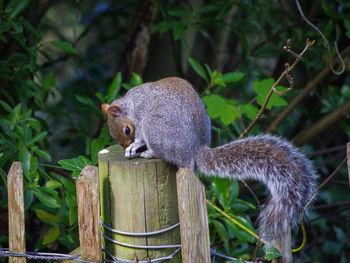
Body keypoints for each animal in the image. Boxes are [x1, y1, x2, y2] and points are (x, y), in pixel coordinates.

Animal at [101, 77, 318, 245]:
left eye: (127, 130)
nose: (125, 143)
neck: (132, 102)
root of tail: (193, 152)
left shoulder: (140, 118)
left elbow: (140, 138)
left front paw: (134, 146)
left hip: (154, 126)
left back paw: (150, 153)